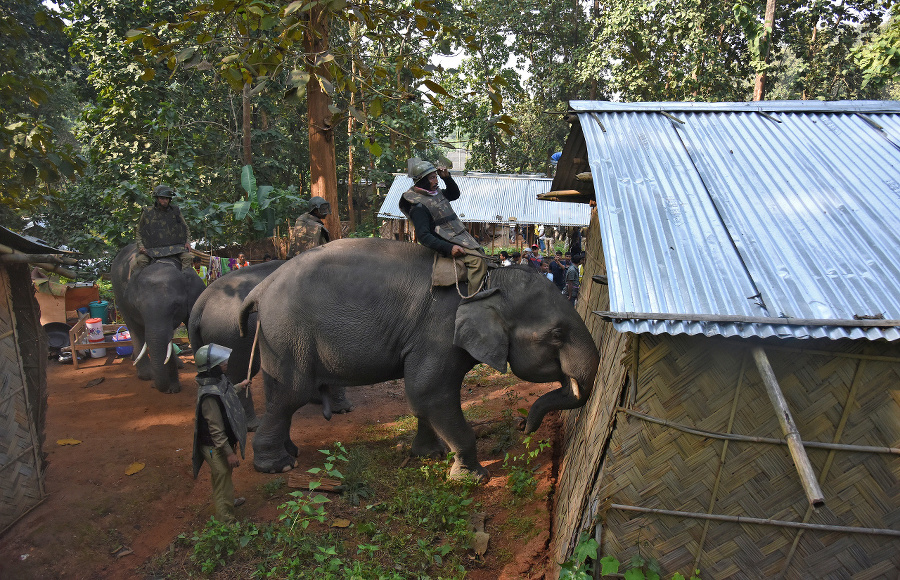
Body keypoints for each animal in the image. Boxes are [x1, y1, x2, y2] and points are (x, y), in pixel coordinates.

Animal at [111, 242, 207, 392]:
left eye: (176, 306)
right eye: (138, 307)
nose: (159, 387)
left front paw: (174, 389)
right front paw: (172, 389)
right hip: (118, 295)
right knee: (134, 328)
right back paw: (145, 374)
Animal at [243, 238, 600, 478]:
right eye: (557, 334)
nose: (524, 427)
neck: (490, 279)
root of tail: (261, 287)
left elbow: (424, 399)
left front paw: (430, 455)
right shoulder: (438, 331)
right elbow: (429, 393)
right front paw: (474, 476)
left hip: (278, 339)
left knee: (279, 394)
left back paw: (290, 452)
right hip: (289, 333)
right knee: (292, 394)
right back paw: (277, 466)